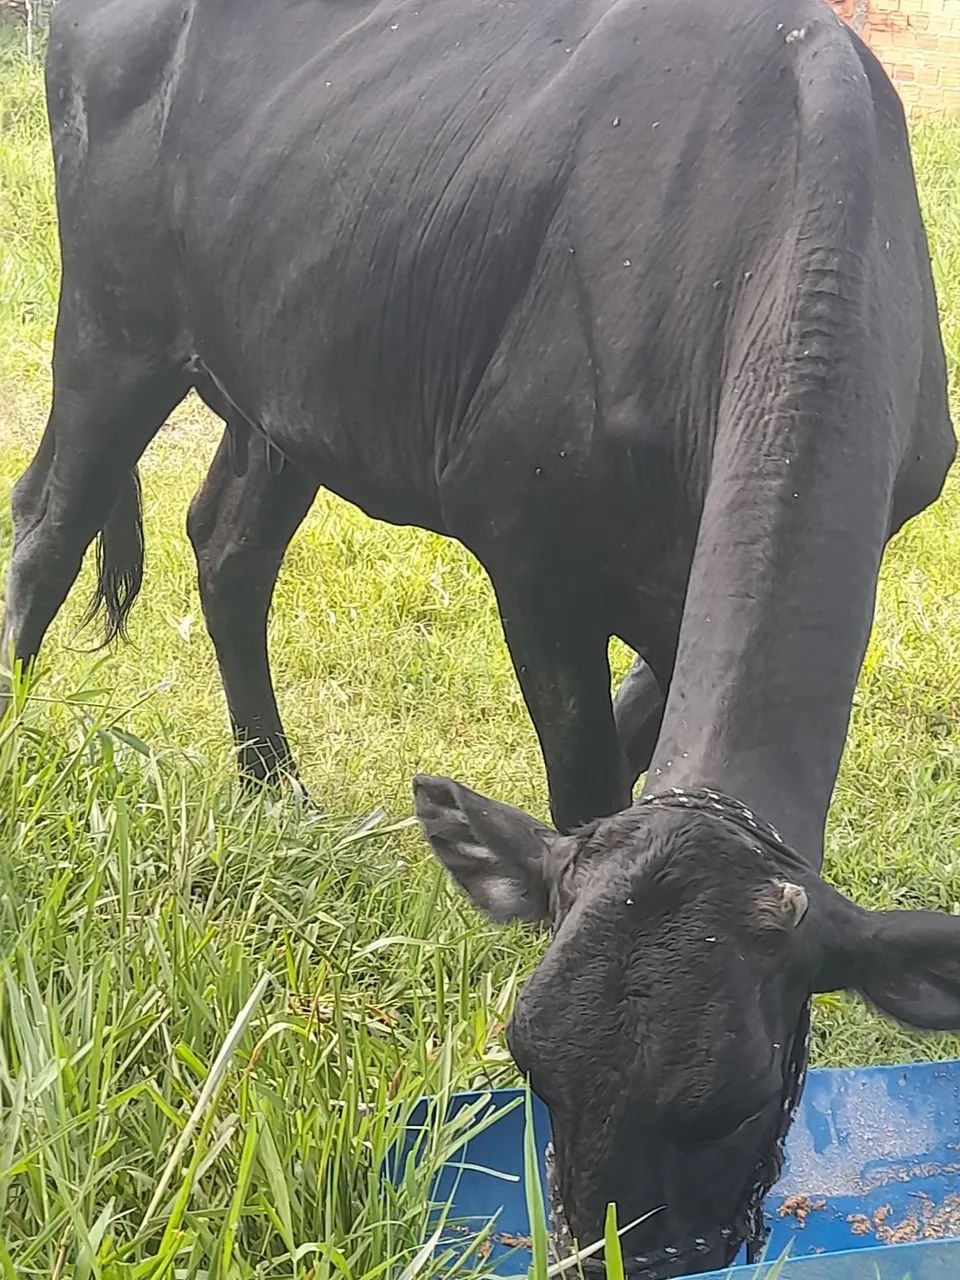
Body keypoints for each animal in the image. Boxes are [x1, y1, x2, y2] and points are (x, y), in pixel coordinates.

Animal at [1, 0, 957, 1273]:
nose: (612, 1252)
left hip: (290, 379)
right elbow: (581, 769)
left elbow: (634, 731)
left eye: (741, 1101)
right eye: (529, 1065)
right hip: (114, 326)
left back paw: (274, 786)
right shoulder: (533, 551)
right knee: (48, 523)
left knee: (228, 545)